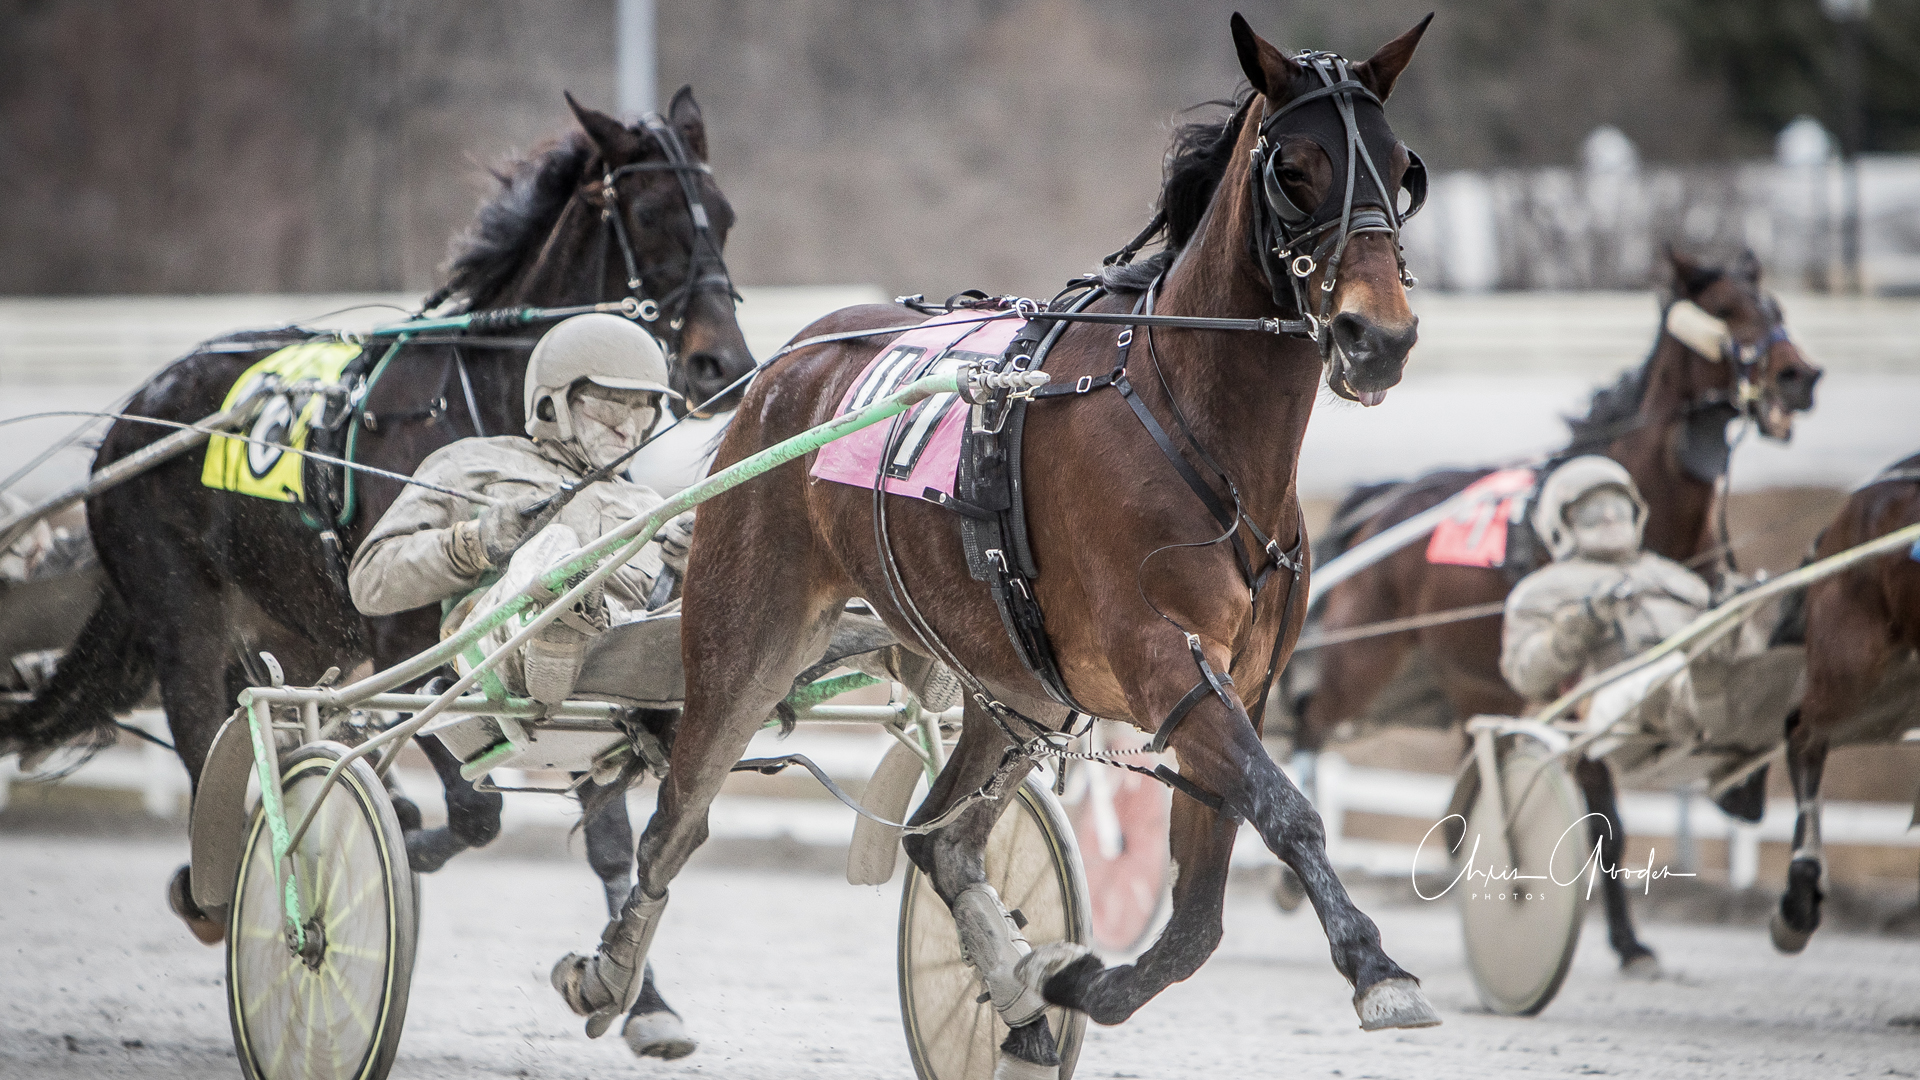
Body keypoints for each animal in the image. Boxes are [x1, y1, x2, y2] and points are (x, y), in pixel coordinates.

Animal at [1282, 247, 1820, 972]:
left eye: (1778, 308)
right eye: (1727, 309)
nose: (1799, 376)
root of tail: (1384, 503)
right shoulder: (1579, 683)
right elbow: (1606, 824)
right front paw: (1627, 942)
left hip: (1469, 685)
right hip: (1367, 661)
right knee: (1310, 719)